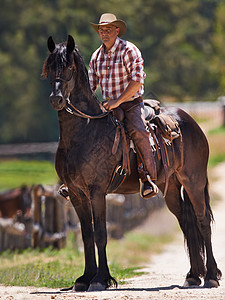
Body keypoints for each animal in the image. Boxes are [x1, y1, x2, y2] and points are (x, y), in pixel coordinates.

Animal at [41, 34, 221, 290]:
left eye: (68, 68)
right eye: (49, 67)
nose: (56, 99)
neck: (85, 131)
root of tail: (190, 121)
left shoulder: (97, 191)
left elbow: (100, 234)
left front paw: (100, 279)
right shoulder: (77, 194)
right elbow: (86, 235)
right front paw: (84, 279)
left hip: (194, 181)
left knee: (202, 220)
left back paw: (212, 276)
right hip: (171, 188)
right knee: (187, 222)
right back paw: (194, 276)